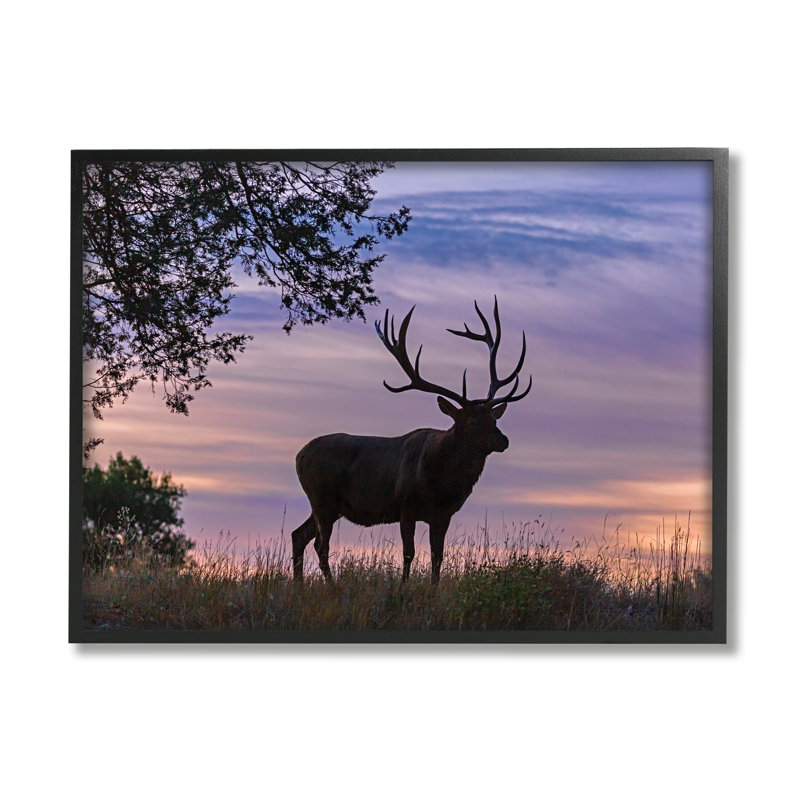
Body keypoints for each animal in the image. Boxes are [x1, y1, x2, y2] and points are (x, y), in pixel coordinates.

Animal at [290, 297, 532, 584]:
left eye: (494, 419)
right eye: (473, 421)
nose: (503, 440)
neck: (442, 484)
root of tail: (298, 456)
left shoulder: (443, 515)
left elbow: (438, 557)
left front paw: (433, 589)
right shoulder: (406, 506)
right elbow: (408, 554)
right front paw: (402, 588)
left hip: (328, 504)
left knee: (299, 535)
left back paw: (299, 585)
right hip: (321, 497)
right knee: (320, 544)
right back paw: (332, 586)